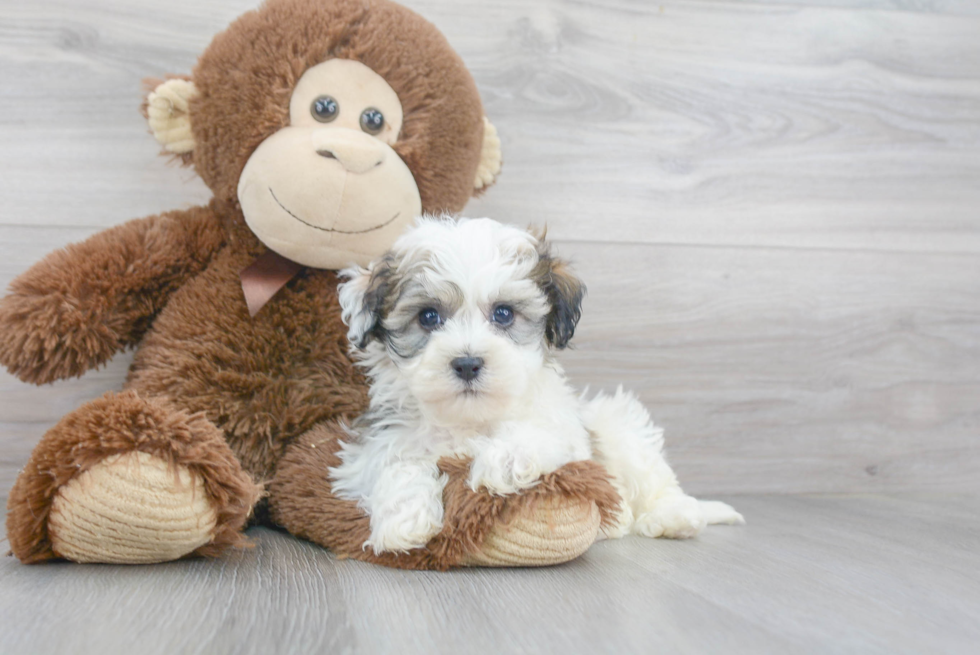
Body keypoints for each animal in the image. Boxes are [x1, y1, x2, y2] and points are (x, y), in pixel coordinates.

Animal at [332, 219, 744, 552]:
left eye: (503, 314)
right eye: (428, 317)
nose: (467, 363)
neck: (470, 419)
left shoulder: (567, 435)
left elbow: (537, 435)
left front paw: (502, 461)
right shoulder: (376, 443)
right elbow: (395, 463)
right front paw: (404, 521)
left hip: (620, 427)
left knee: (656, 480)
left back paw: (673, 517)